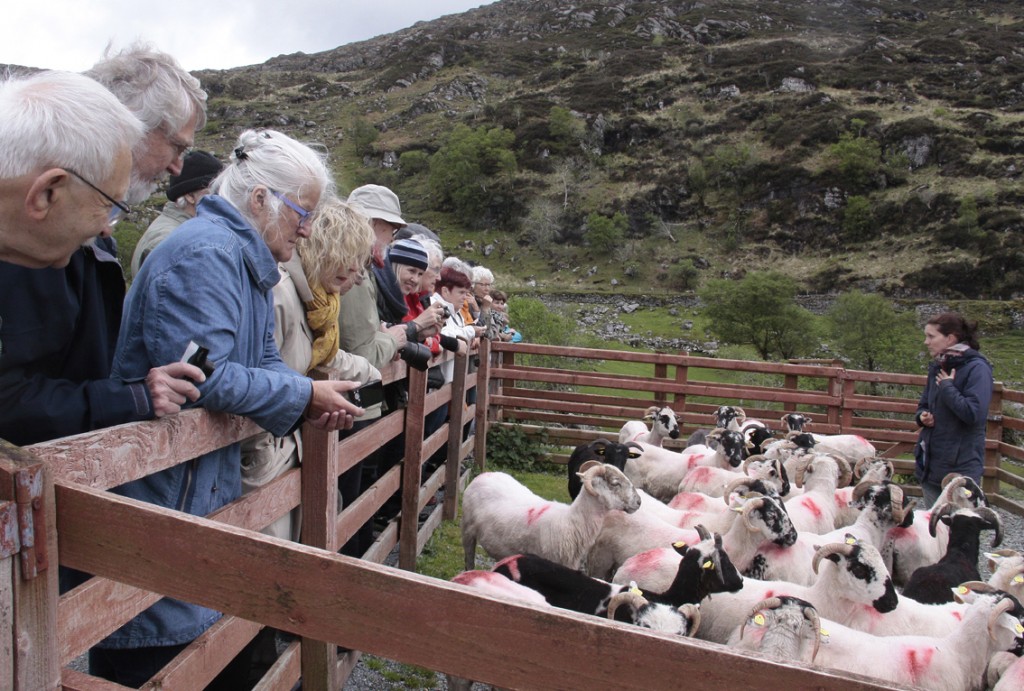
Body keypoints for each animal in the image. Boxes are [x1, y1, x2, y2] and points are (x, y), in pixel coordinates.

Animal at [464, 462, 638, 569]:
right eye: (615, 483)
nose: (639, 501)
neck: (571, 522)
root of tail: (484, 475)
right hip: (467, 530)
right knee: (468, 557)